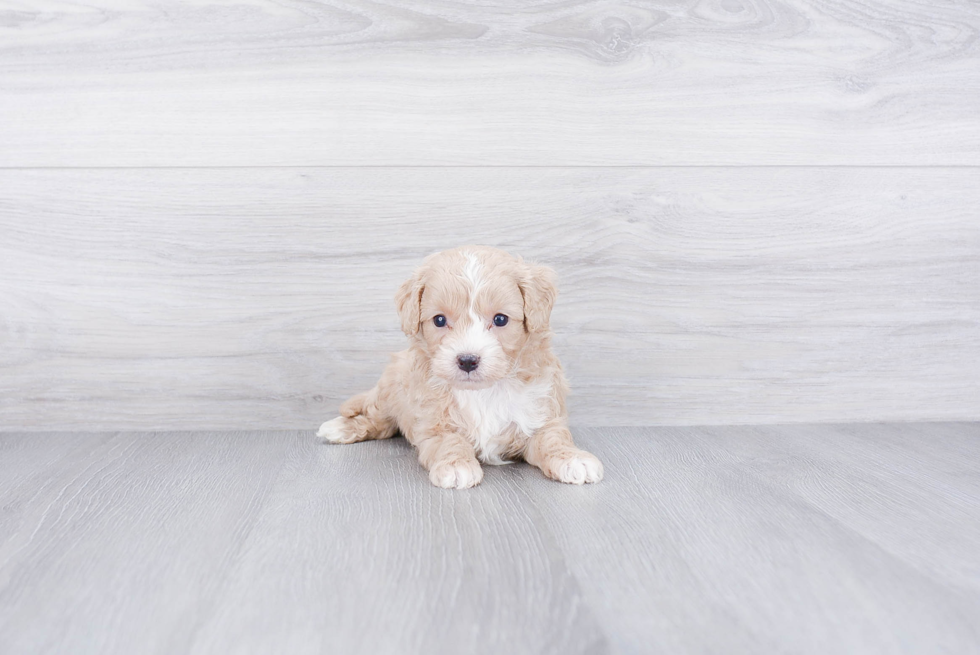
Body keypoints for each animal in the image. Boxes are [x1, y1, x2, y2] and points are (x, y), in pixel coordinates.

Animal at [318, 249, 600, 490]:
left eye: (500, 319)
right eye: (439, 320)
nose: (467, 360)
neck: (484, 392)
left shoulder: (541, 415)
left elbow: (553, 438)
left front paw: (572, 458)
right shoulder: (433, 424)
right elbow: (449, 441)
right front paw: (456, 465)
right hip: (390, 392)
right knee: (376, 419)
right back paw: (339, 428)